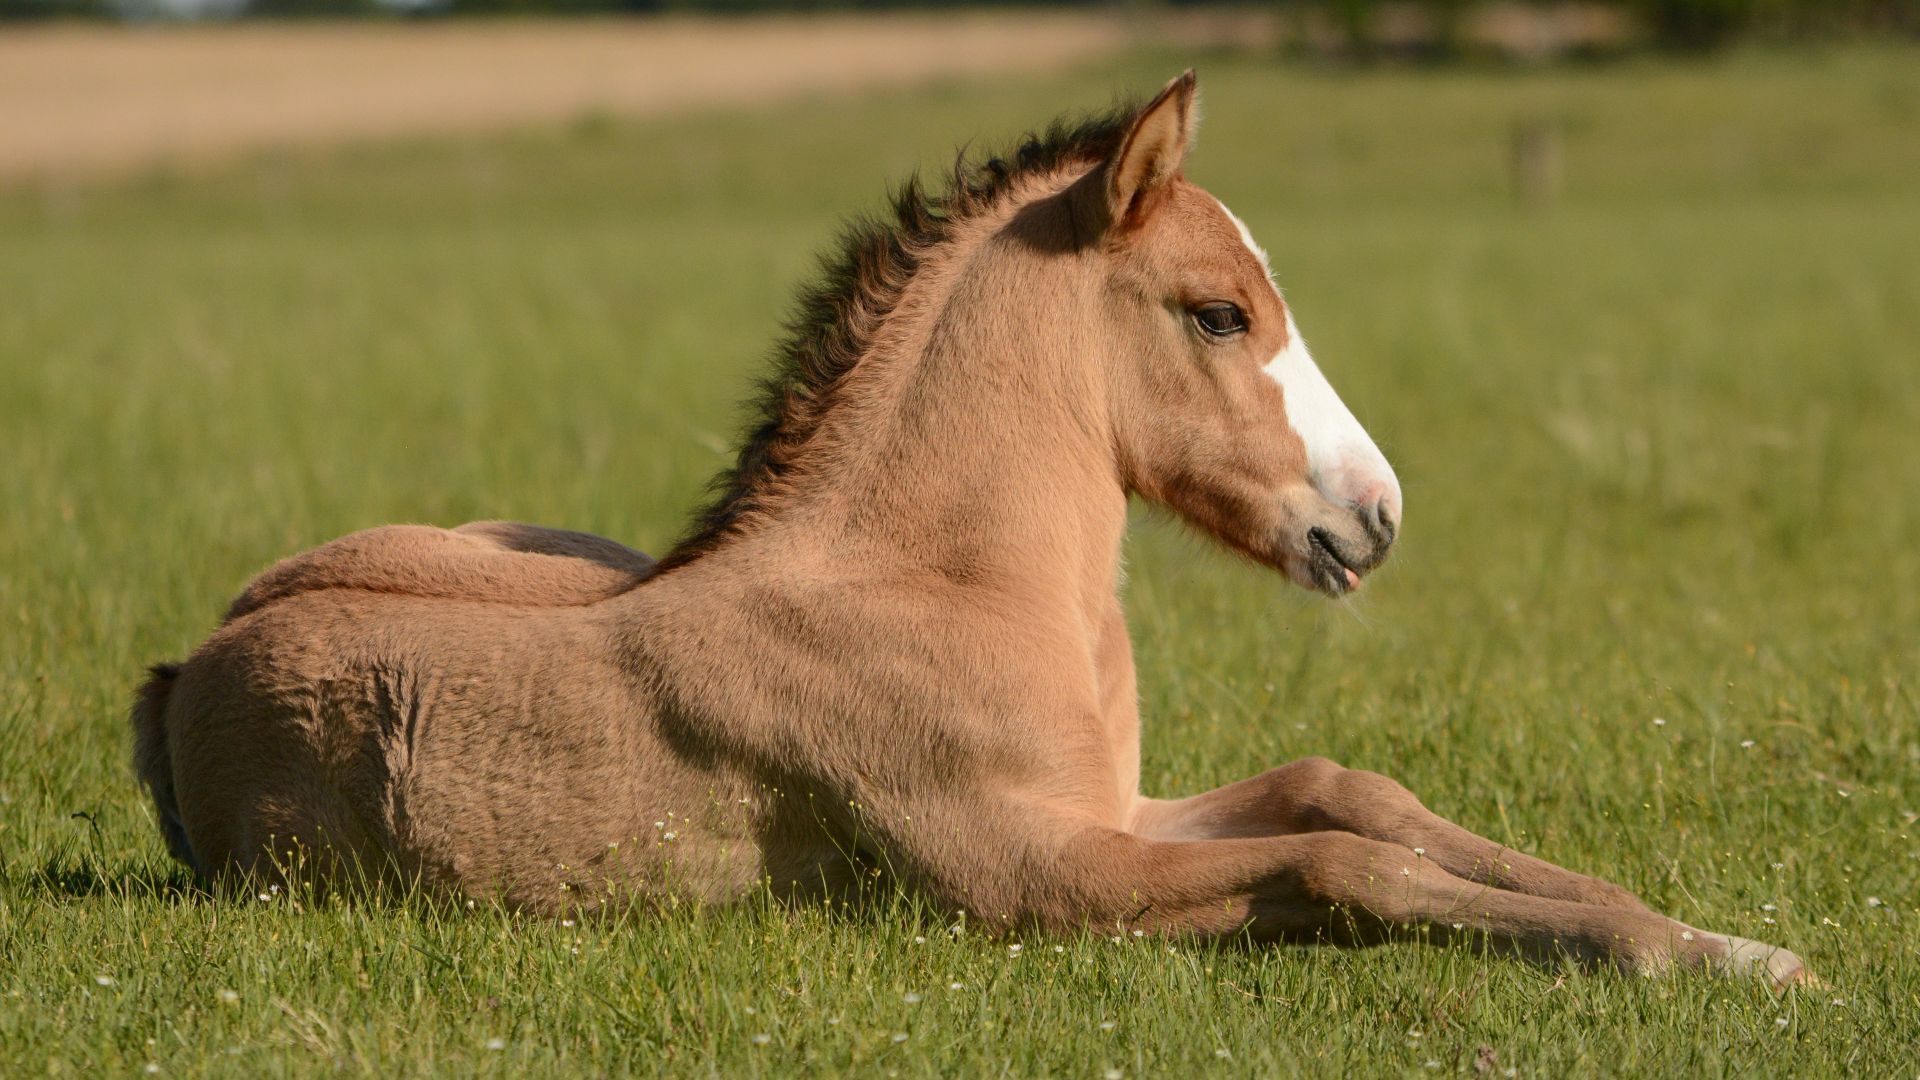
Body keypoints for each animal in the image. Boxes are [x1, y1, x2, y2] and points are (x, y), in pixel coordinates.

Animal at [131, 72, 1811, 988]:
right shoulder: (1036, 877)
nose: (1375, 516)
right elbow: (1348, 867)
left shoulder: (1116, 810)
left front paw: (1721, 940)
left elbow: (1354, 794)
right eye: (1218, 311)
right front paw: (1686, 958)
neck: (944, 589)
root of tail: (183, 666)